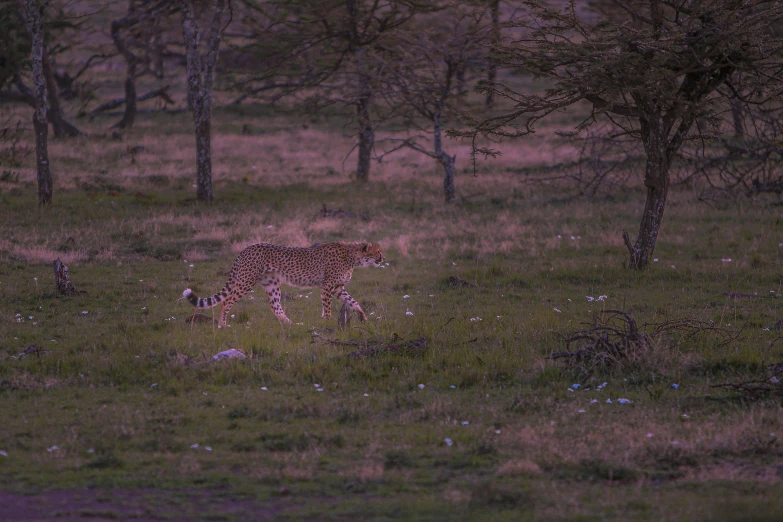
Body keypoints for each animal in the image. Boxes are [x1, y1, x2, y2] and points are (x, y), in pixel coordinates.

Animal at [181, 240, 382, 324]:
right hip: (246, 281)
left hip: (271, 284)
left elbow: (353, 301)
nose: (383, 258)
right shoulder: (328, 286)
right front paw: (327, 322)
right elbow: (328, 307)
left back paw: (290, 324)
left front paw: (363, 317)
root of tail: (246, 248)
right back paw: (223, 324)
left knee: (275, 306)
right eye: (378, 252)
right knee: (227, 300)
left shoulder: (338, 287)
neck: (353, 256)